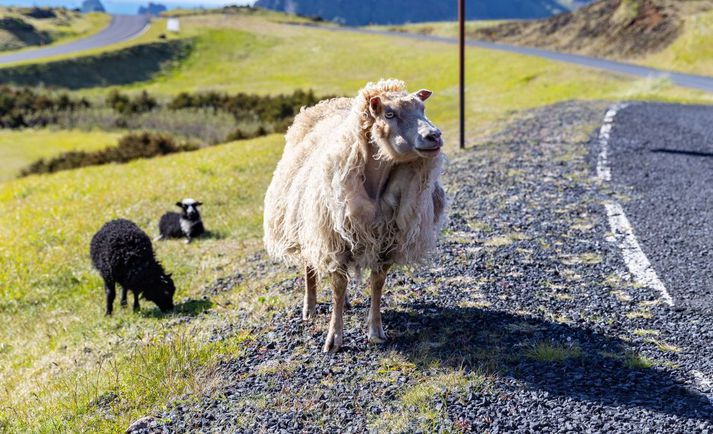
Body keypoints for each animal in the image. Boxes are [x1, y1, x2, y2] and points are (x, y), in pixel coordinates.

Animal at [264, 79, 448, 352]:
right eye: (389, 114)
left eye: (422, 109)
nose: (434, 135)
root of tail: (325, 104)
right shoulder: (333, 238)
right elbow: (338, 287)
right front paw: (334, 338)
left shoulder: (386, 239)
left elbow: (377, 283)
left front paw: (375, 331)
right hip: (308, 223)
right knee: (310, 266)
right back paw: (310, 307)